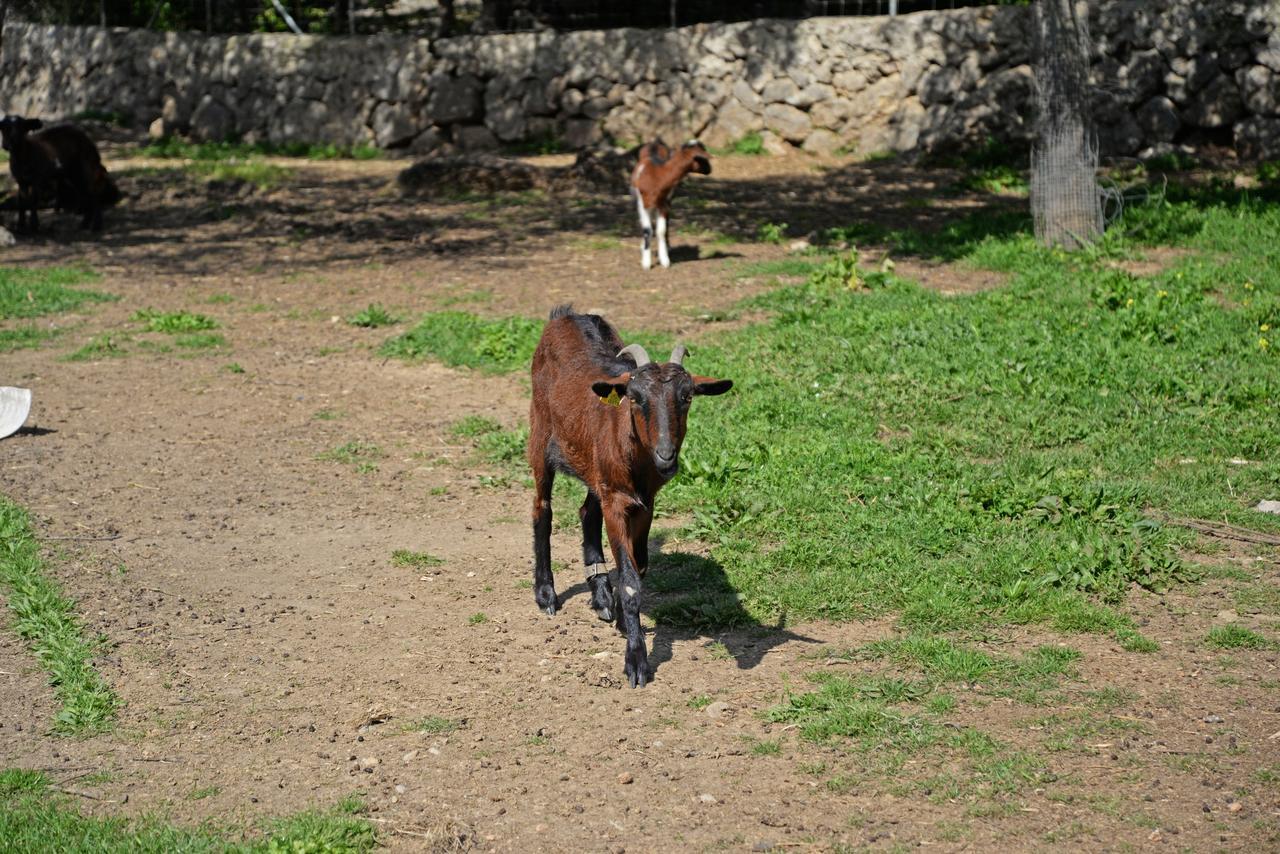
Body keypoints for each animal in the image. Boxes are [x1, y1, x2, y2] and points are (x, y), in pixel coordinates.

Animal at [527, 306, 732, 686]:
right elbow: (632, 582)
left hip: (596, 471)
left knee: (586, 511)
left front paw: (622, 616)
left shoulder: (644, 502)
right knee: (542, 509)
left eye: (687, 397)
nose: (666, 455)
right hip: (540, 436)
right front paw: (636, 660)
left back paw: (600, 595)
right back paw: (546, 593)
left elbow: (639, 567)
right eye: (635, 398)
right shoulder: (617, 502)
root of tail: (566, 314)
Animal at [629, 139, 711, 270]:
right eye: (702, 158)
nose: (709, 170)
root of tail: (654, 143)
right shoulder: (643, 204)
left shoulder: (663, 204)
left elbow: (661, 230)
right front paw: (646, 263)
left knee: (666, 223)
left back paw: (668, 247)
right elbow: (647, 230)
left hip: (668, 201)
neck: (657, 175)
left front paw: (665, 260)